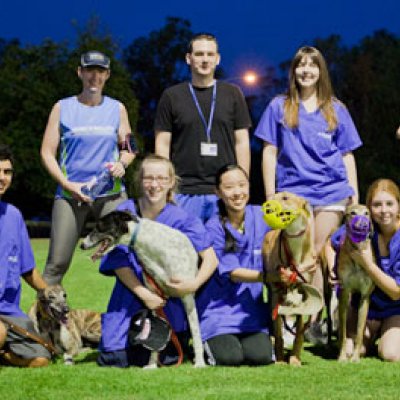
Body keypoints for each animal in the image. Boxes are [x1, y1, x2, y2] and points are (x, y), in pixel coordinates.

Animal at [262, 192, 322, 364]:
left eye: (285, 197)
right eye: (273, 195)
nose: (267, 206)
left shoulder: (305, 290)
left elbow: (300, 331)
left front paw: (295, 359)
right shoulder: (277, 291)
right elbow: (278, 331)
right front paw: (281, 360)